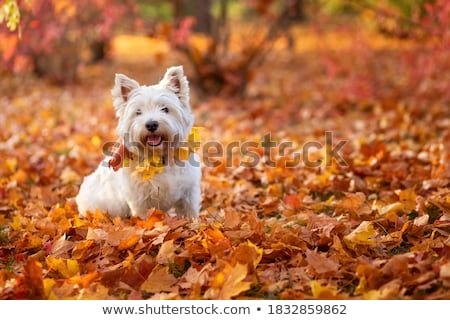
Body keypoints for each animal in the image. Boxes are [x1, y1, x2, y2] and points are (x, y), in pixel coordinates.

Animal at [76, 66, 201, 219]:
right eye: (138, 112)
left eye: (165, 109)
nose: (151, 124)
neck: (159, 157)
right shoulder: (140, 201)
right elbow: (144, 219)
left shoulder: (189, 192)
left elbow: (190, 214)